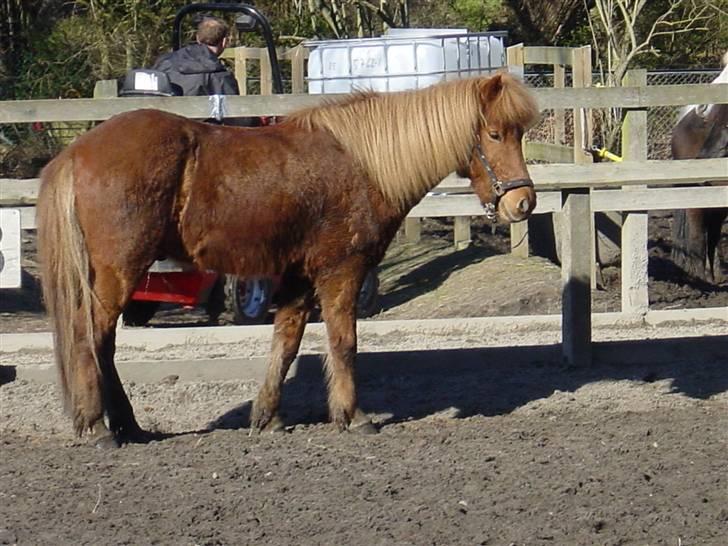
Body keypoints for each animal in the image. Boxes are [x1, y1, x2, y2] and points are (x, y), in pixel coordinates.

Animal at [39, 72, 540, 446]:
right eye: (494, 133)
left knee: (103, 344)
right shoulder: (342, 271)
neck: (365, 163)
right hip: (119, 271)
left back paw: (129, 425)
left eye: (520, 134)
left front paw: (267, 417)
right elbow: (343, 342)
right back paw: (101, 427)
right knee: (90, 338)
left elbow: (286, 343)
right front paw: (353, 415)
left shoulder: (298, 278)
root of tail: (76, 152)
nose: (524, 204)